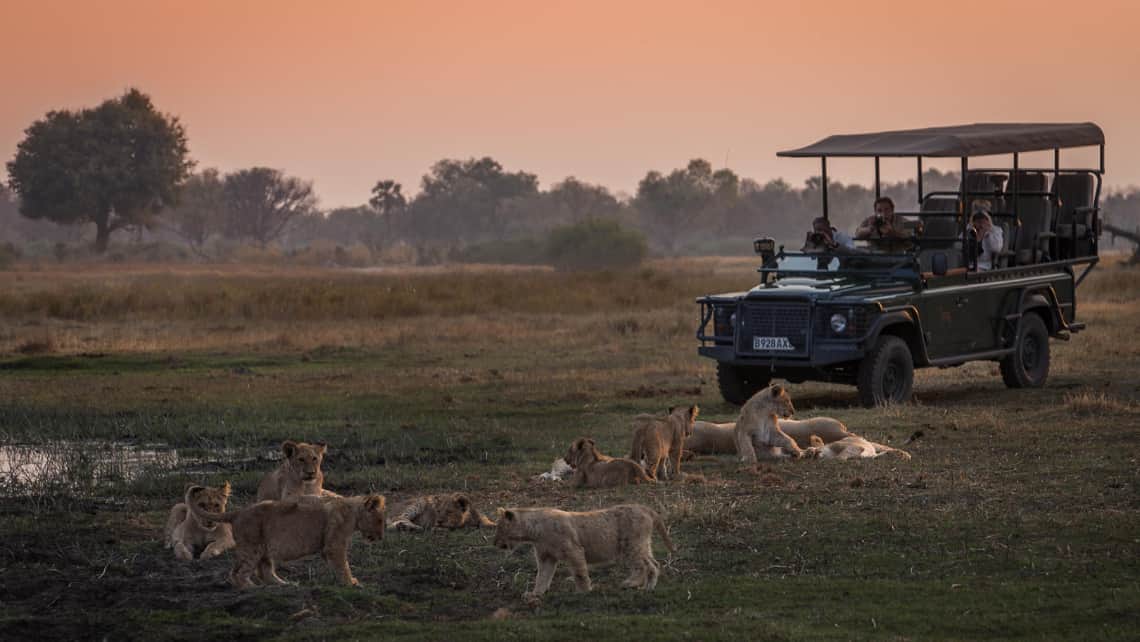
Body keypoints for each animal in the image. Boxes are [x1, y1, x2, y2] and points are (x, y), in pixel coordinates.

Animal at [184, 488, 385, 588]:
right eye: (380, 520)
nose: (380, 537)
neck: (353, 511)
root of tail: (238, 512)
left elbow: (339, 565)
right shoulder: (334, 545)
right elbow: (343, 565)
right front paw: (351, 583)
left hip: (262, 548)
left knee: (262, 571)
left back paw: (284, 584)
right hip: (252, 547)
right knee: (239, 572)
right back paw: (251, 588)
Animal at [492, 504, 670, 602]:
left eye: (499, 528)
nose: (494, 543)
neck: (535, 532)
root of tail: (645, 508)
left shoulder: (573, 551)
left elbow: (579, 573)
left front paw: (583, 591)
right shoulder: (546, 557)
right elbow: (542, 577)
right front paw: (535, 594)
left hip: (631, 545)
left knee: (648, 565)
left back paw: (643, 587)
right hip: (639, 545)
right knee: (649, 564)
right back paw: (635, 584)